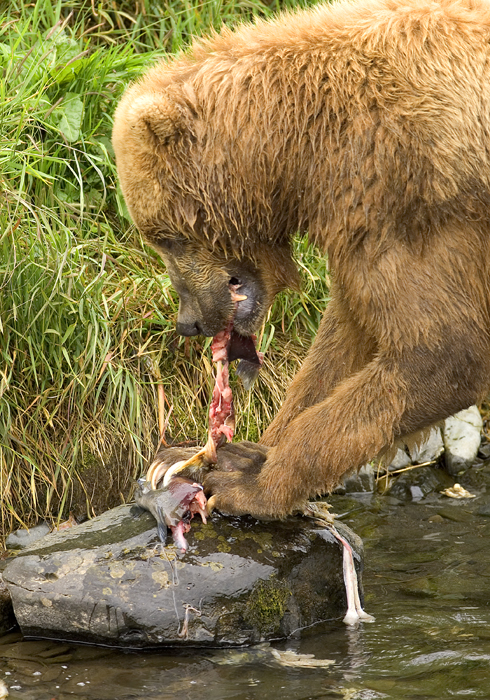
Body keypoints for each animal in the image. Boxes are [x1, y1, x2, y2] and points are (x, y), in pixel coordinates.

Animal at [112, 0, 490, 518]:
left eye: (165, 238)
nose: (188, 321)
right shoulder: (363, 216)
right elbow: (347, 338)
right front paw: (237, 451)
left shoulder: (415, 193)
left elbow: (443, 349)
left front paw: (248, 482)